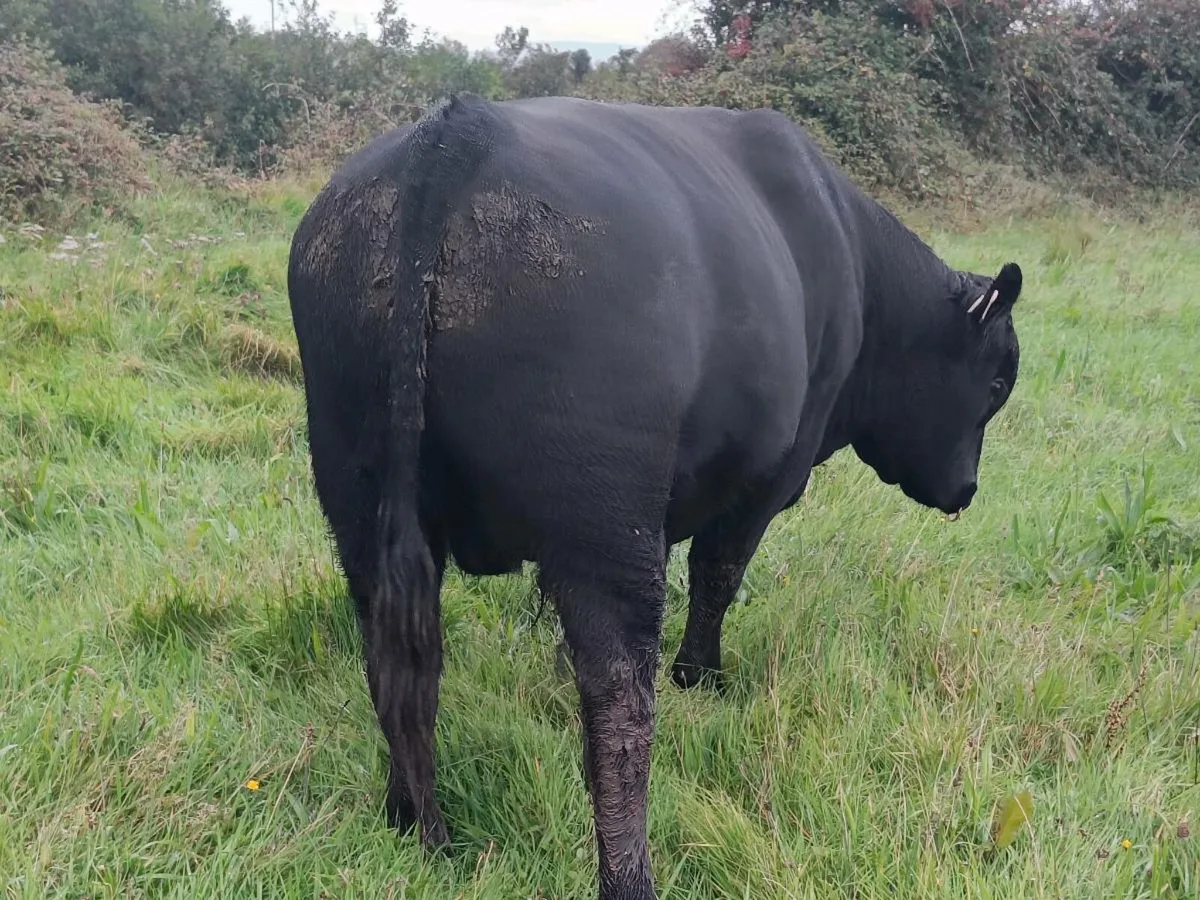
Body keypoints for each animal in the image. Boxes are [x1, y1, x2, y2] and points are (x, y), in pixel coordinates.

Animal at [286, 92, 1023, 900]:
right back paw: (628, 872)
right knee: (618, 698)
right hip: (603, 524)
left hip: (358, 497)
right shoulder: (766, 481)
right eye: (995, 384)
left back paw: (411, 818)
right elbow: (717, 575)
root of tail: (456, 132)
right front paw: (701, 676)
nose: (966, 490)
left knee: (394, 655)